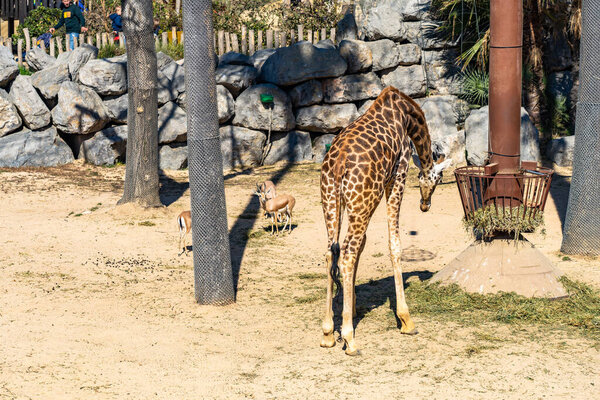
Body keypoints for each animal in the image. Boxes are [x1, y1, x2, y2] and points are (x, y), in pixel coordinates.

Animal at [318, 86, 450, 354]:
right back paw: (349, 339)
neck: (408, 115)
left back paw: (327, 333)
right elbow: (394, 244)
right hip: (362, 201)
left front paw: (352, 310)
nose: (425, 205)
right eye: (439, 179)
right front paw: (406, 320)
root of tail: (337, 165)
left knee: (331, 253)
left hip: (333, 201)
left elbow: (364, 245)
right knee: (346, 253)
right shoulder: (398, 175)